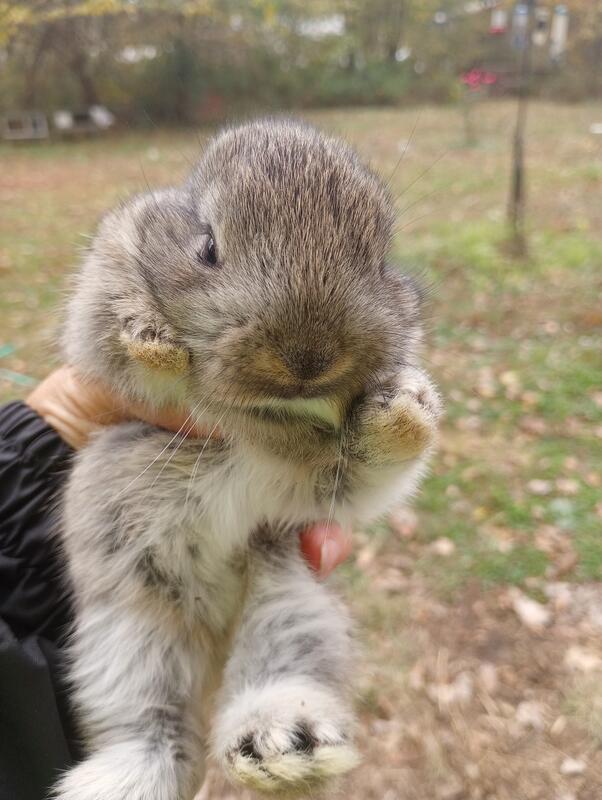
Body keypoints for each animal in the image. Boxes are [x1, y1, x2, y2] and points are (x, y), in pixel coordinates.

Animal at [54, 118, 442, 800]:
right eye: (208, 247)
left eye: (379, 261)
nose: (308, 358)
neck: (259, 419)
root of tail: (216, 621)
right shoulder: (111, 267)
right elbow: (111, 328)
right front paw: (153, 340)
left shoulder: (323, 490)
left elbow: (370, 464)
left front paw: (405, 407)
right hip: (126, 630)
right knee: (151, 723)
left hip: (291, 601)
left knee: (280, 671)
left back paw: (282, 747)